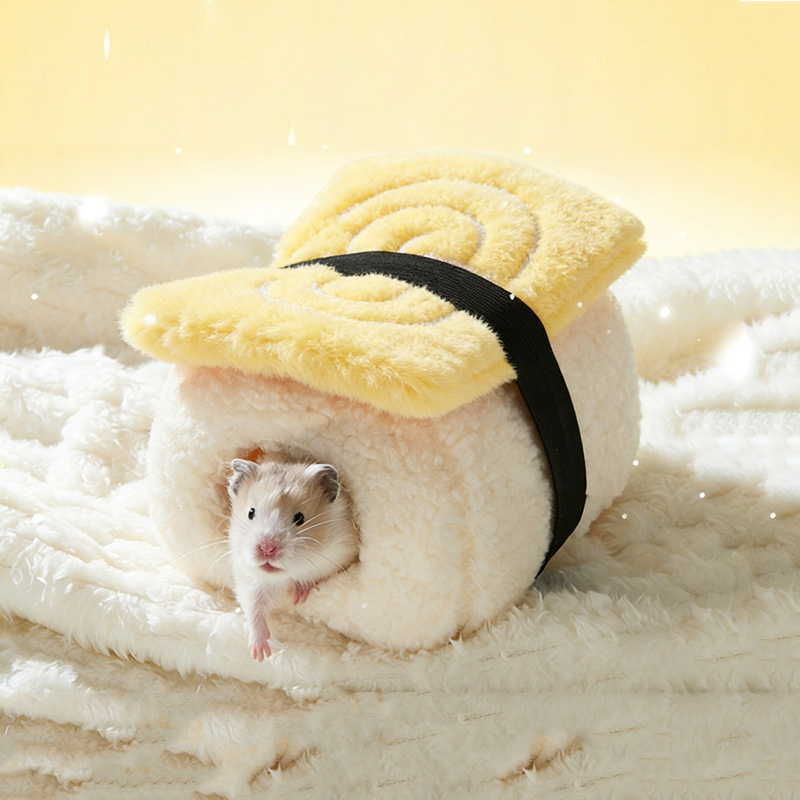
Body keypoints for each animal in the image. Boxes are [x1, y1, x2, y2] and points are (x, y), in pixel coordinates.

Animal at [226, 453, 359, 661]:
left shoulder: (343, 554)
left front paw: (300, 593)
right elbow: (254, 608)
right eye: (250, 512)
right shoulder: (249, 579)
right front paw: (260, 654)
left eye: (299, 517)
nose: (267, 548)